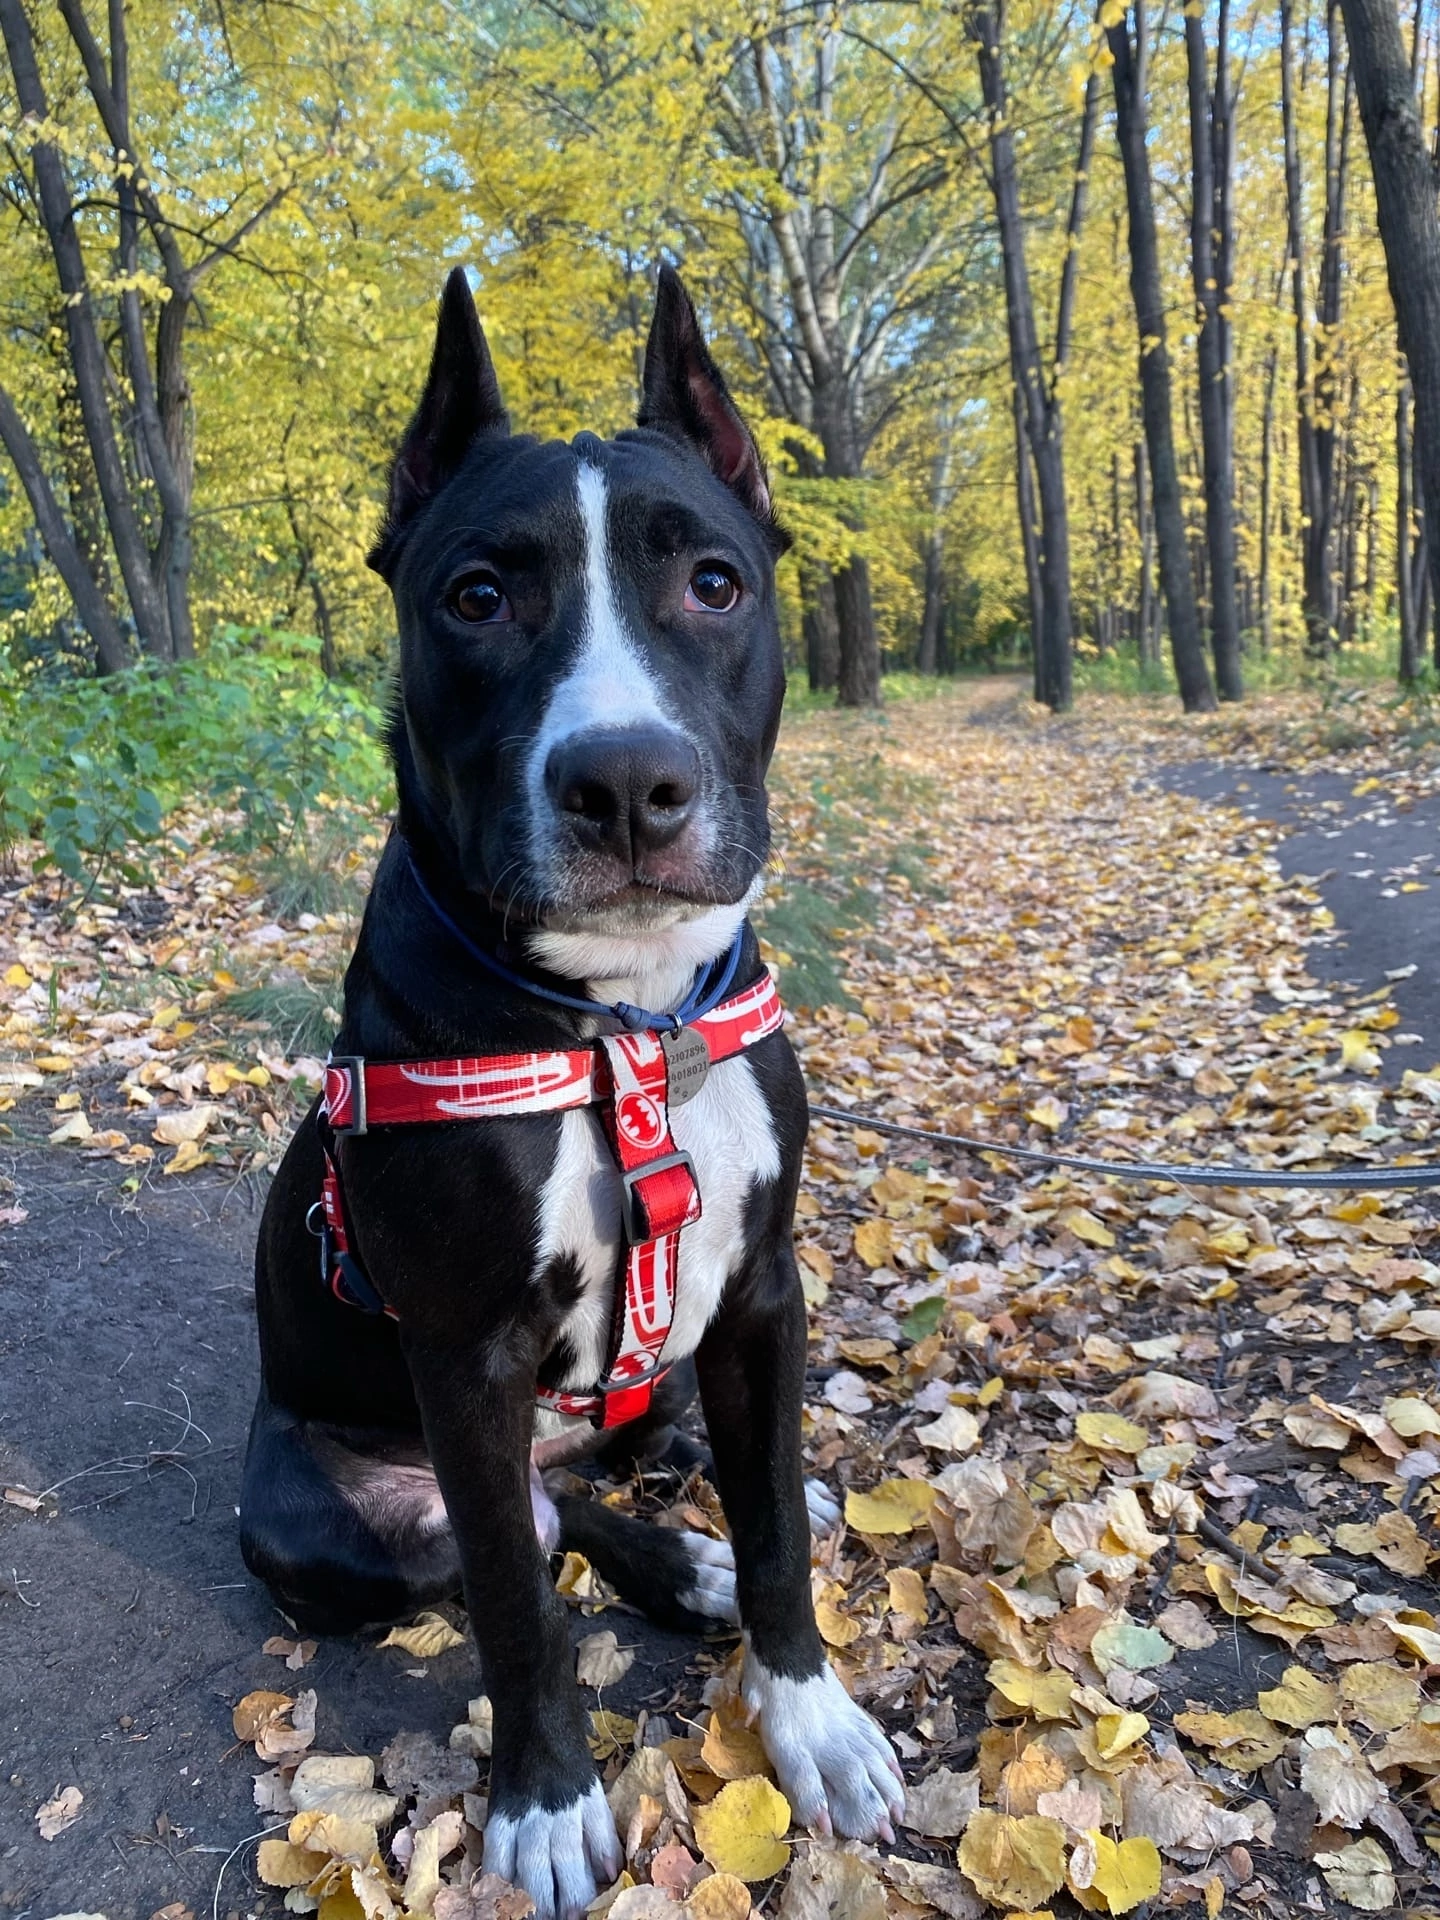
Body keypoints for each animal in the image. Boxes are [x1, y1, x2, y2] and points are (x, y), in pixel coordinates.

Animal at [242, 270, 902, 1920]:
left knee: (638, 1465)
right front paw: (543, 1803)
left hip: (669, 1373)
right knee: (543, 1527)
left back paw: (713, 1526)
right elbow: (514, 1603)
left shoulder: (764, 1288)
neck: (622, 1021)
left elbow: (779, 1533)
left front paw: (808, 1716)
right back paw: (668, 1567)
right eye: (477, 597)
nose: (624, 784)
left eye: (716, 584)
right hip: (313, 1522)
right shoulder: (466, 1358)